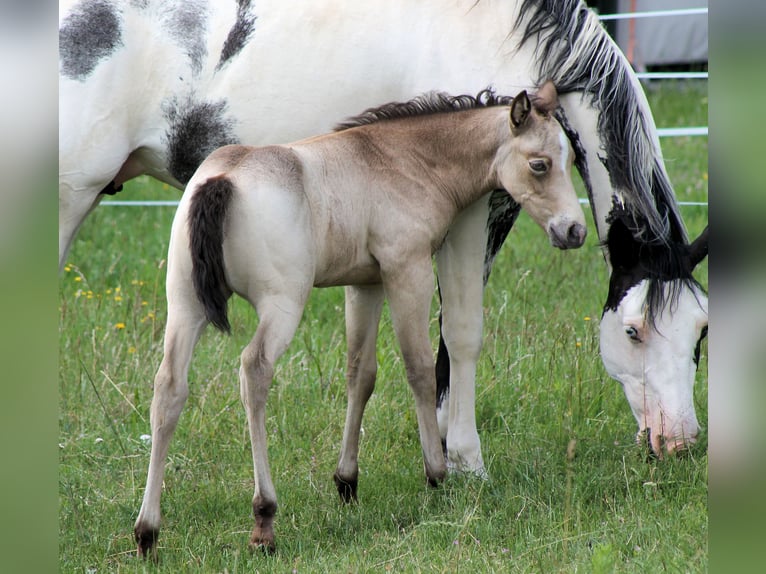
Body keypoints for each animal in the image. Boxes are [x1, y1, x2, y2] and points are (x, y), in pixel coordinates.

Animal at [57, 0, 712, 474]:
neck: (505, 28)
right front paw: (465, 459)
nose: (679, 441)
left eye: (700, 333)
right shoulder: (478, 214)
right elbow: (462, 333)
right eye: (633, 330)